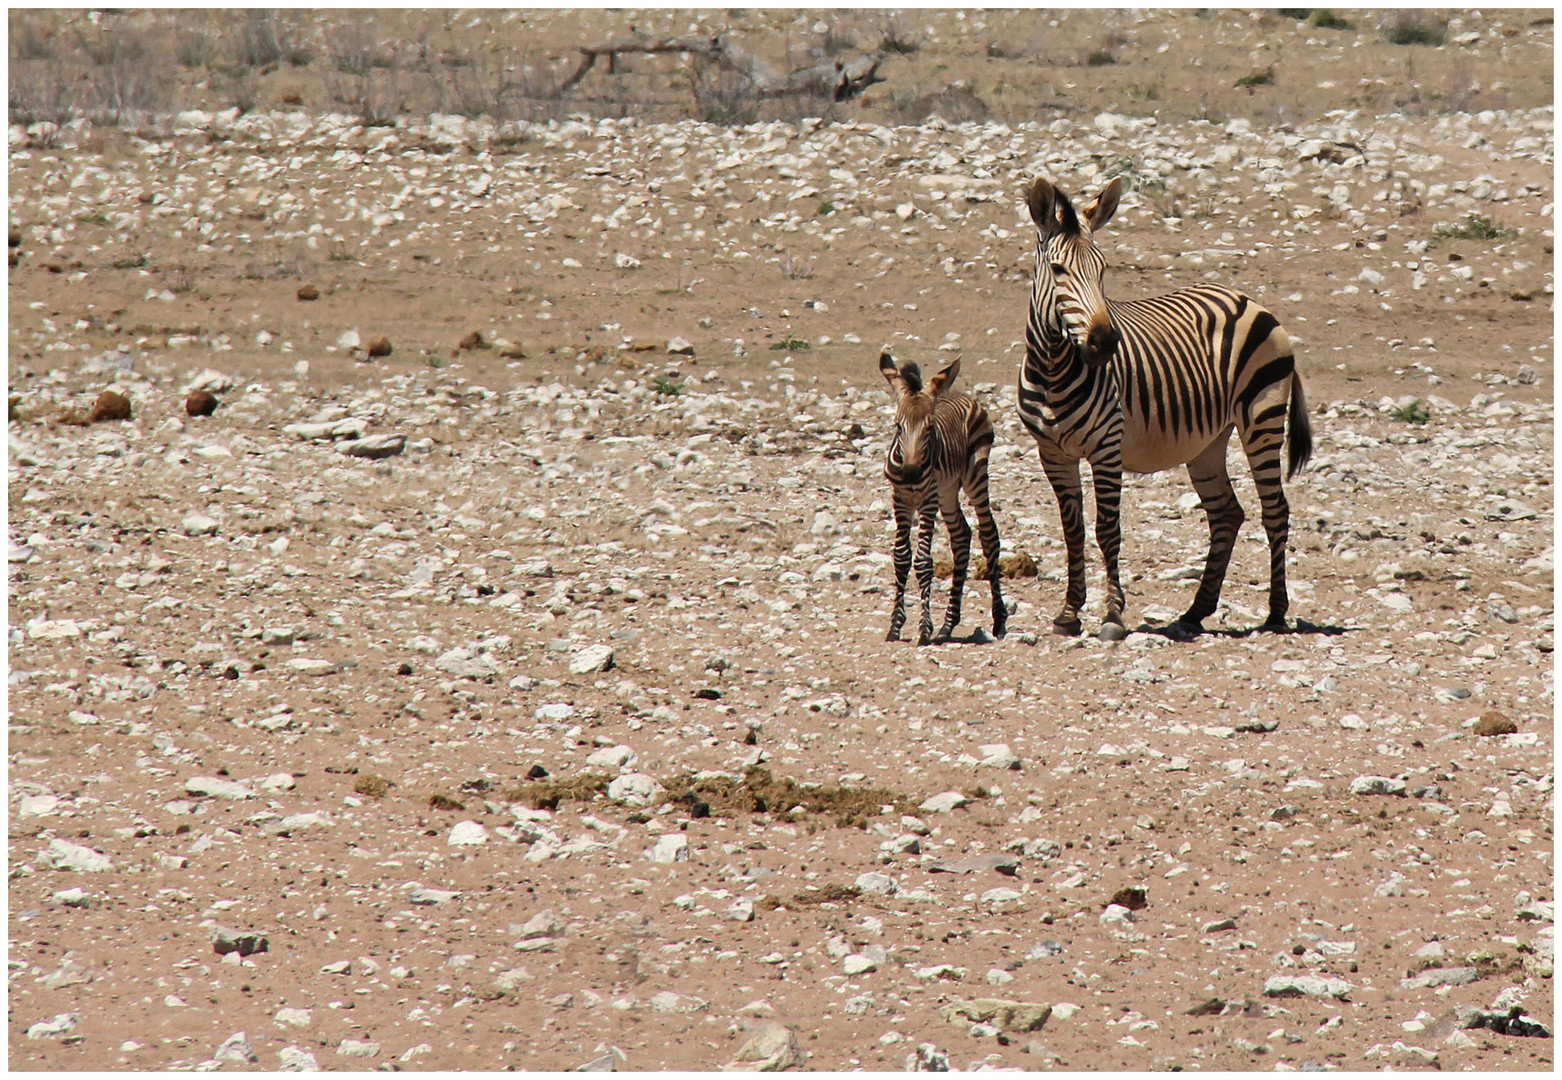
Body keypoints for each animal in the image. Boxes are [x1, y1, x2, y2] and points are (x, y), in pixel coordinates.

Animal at [880, 350, 1012, 647]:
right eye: (898, 426)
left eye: (929, 429)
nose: (911, 472)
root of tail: (963, 394)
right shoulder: (901, 498)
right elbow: (901, 558)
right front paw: (895, 627)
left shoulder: (928, 499)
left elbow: (923, 561)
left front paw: (923, 629)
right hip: (948, 491)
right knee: (962, 535)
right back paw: (947, 626)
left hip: (974, 477)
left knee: (989, 535)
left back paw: (999, 622)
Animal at [1018, 173, 1312, 637]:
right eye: (1060, 270)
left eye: (1103, 269)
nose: (1105, 343)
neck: (1053, 371)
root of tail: (1247, 298)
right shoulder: (1052, 453)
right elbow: (1073, 531)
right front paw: (1069, 612)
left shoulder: (1107, 446)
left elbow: (1107, 530)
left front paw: (1112, 615)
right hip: (1208, 441)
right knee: (1226, 514)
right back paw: (1194, 612)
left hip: (1261, 419)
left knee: (1275, 511)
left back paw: (1276, 613)